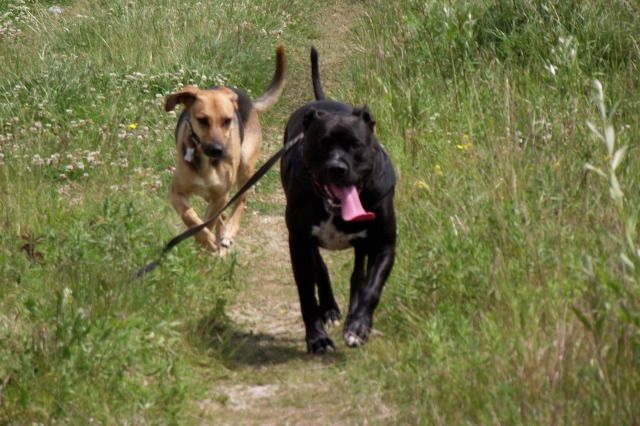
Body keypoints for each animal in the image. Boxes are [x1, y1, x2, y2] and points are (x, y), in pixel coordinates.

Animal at [164, 47, 286, 255]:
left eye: (227, 120)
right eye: (202, 120)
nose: (217, 150)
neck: (206, 163)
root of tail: (249, 102)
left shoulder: (220, 196)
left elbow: (209, 221)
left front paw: (207, 243)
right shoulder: (177, 193)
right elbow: (191, 217)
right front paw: (205, 240)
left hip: (245, 165)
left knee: (241, 200)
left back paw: (228, 232)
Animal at [280, 47, 396, 353]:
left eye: (356, 145)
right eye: (321, 144)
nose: (337, 167)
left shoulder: (384, 244)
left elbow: (371, 286)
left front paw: (358, 327)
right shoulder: (299, 242)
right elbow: (307, 294)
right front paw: (317, 338)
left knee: (358, 274)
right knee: (320, 267)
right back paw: (331, 309)